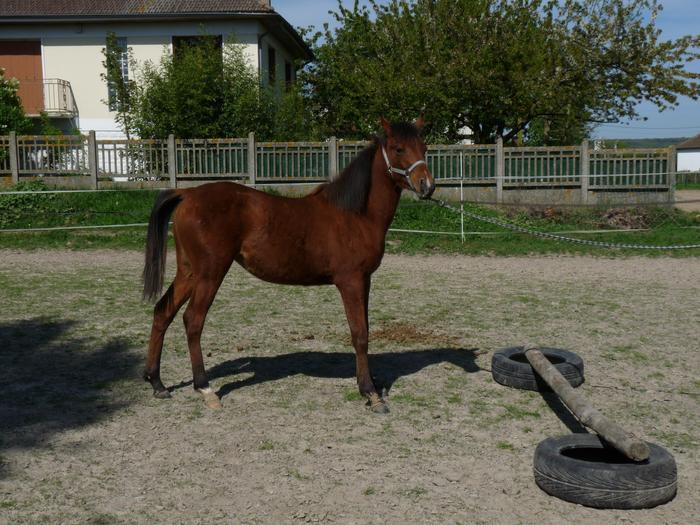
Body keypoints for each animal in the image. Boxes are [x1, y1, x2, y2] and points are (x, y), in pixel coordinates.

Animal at [142, 116, 434, 412]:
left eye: (424, 147)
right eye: (398, 148)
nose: (427, 185)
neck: (354, 215)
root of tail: (188, 193)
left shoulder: (365, 281)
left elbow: (365, 329)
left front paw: (371, 384)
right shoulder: (351, 282)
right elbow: (359, 334)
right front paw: (370, 393)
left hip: (189, 272)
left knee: (162, 312)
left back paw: (157, 383)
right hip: (210, 273)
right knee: (193, 320)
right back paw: (205, 388)